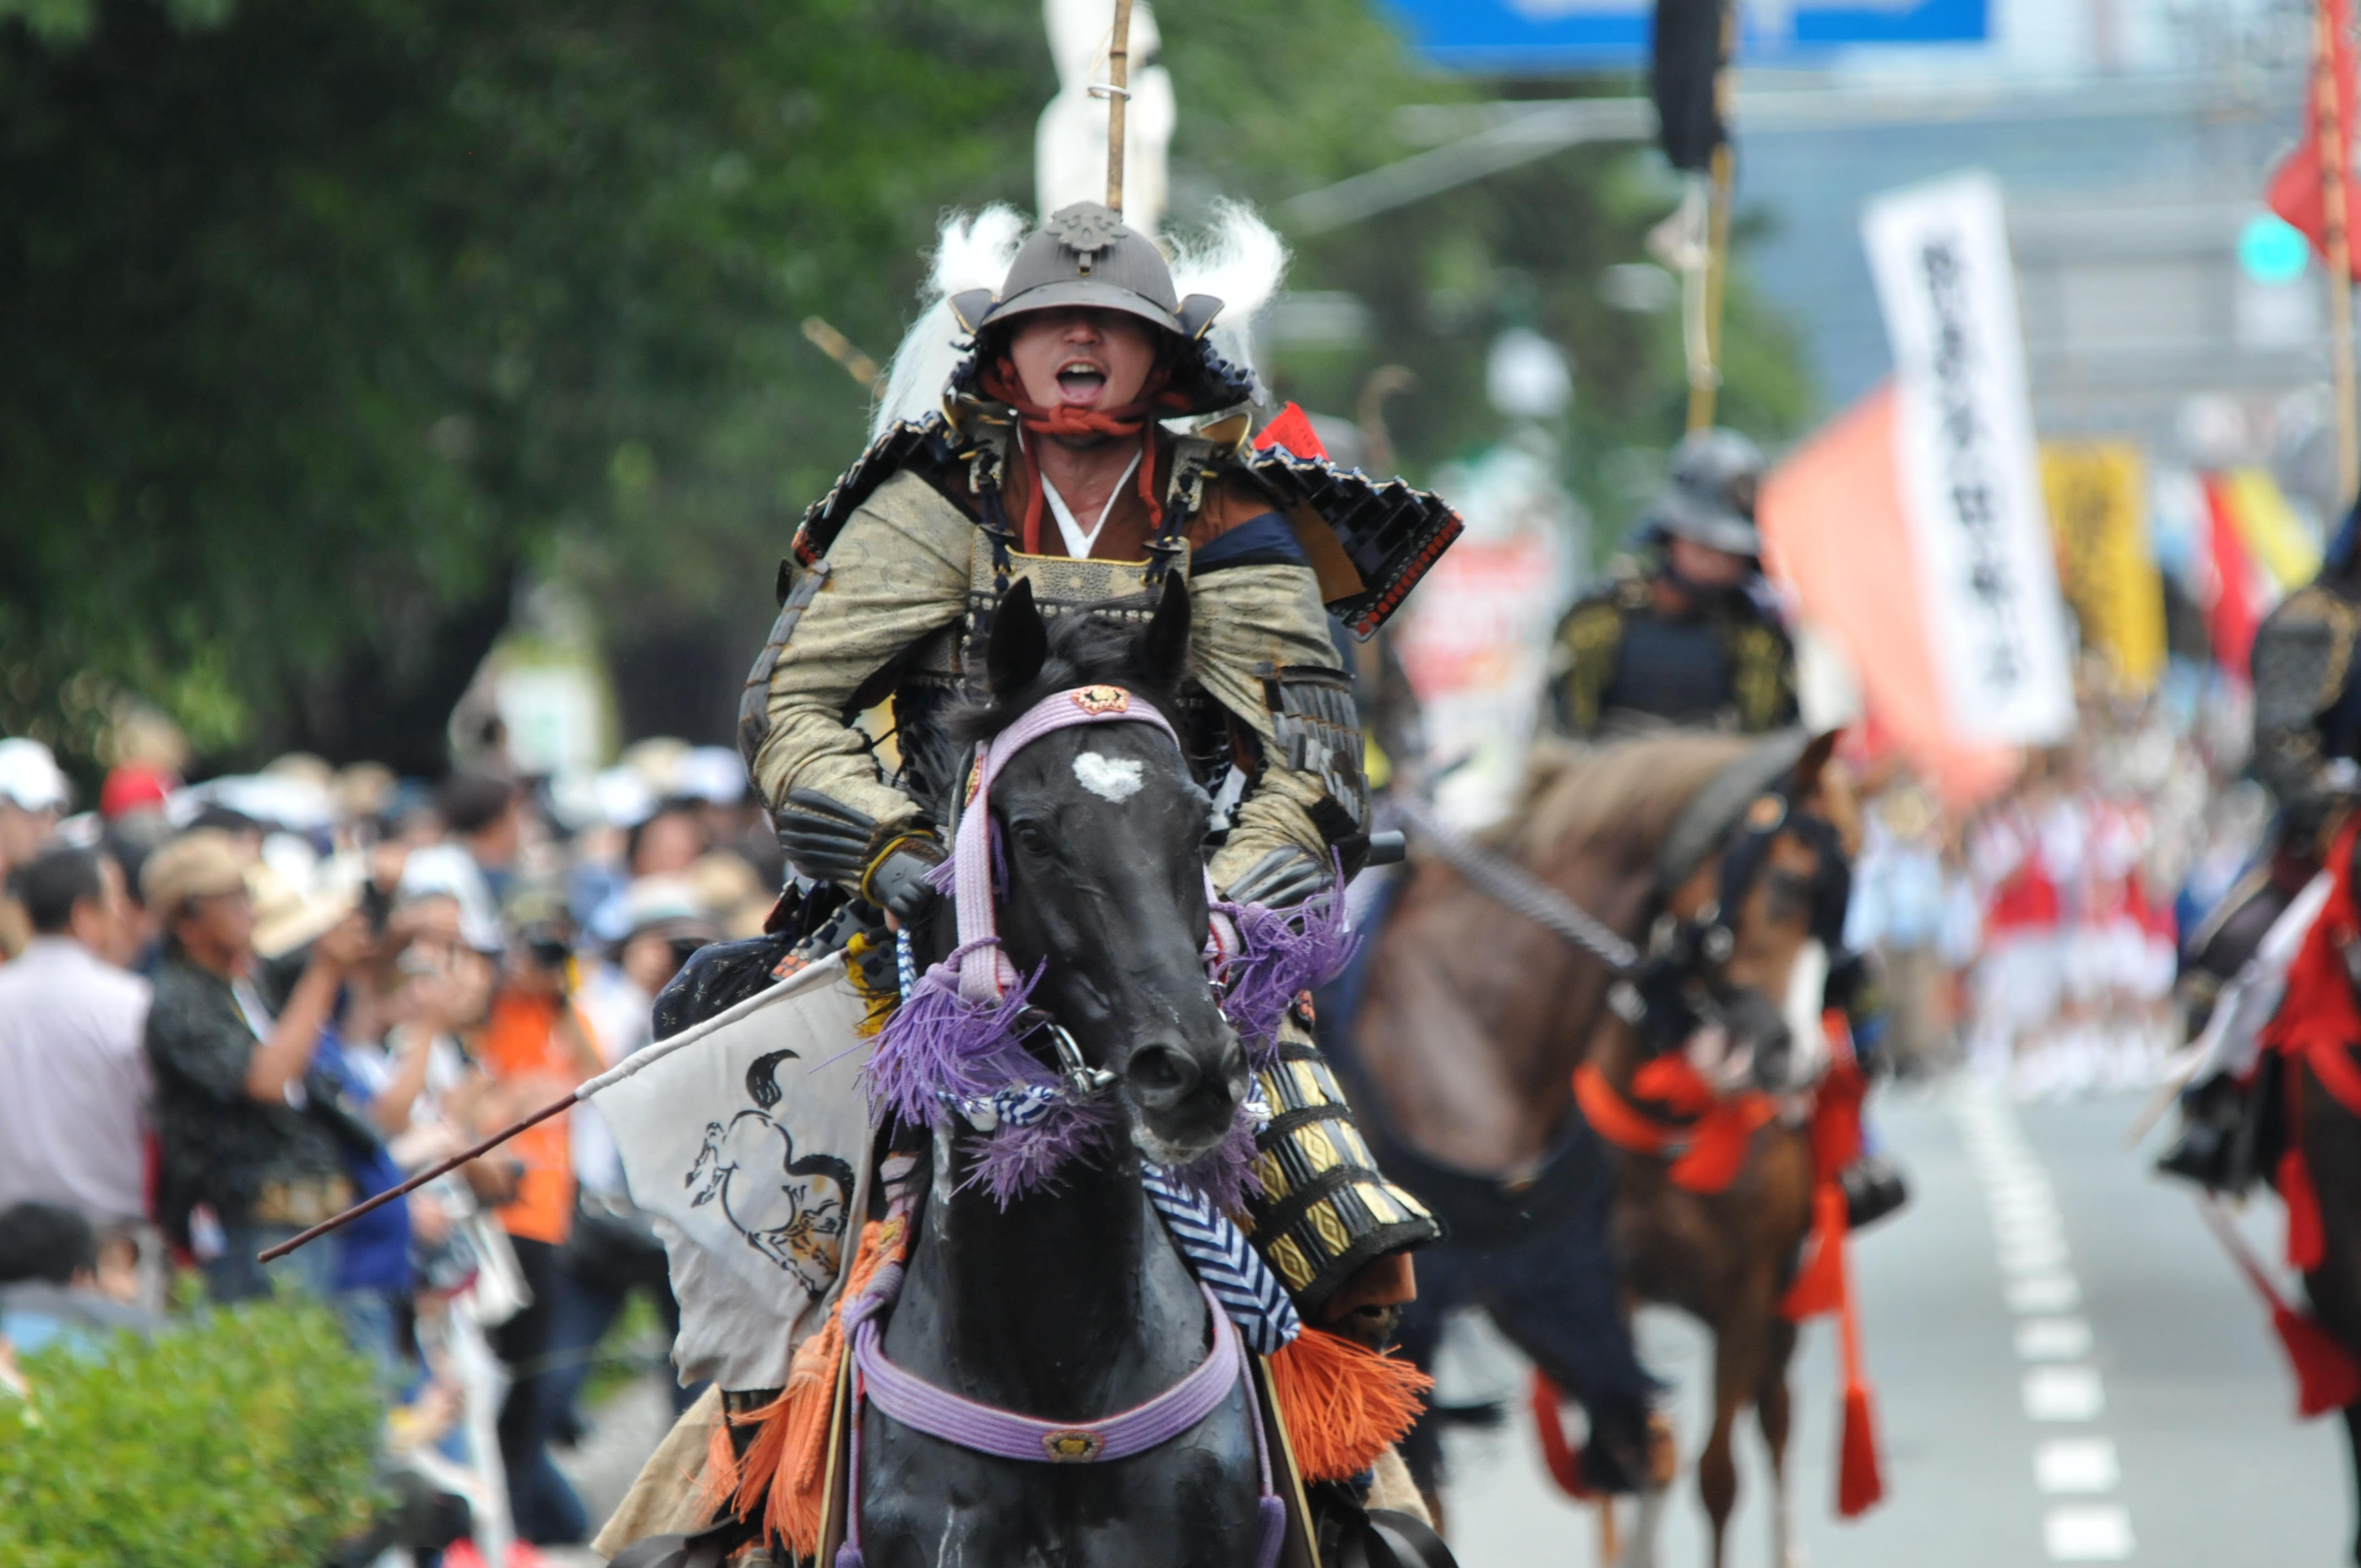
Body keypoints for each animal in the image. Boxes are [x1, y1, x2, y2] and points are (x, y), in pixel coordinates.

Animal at [1341, 737, 1851, 1567]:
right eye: (1787, 881)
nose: (1795, 1062)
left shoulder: (1563, 1281)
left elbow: (1668, 1456)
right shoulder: (1452, 1299)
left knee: (1769, 1421)